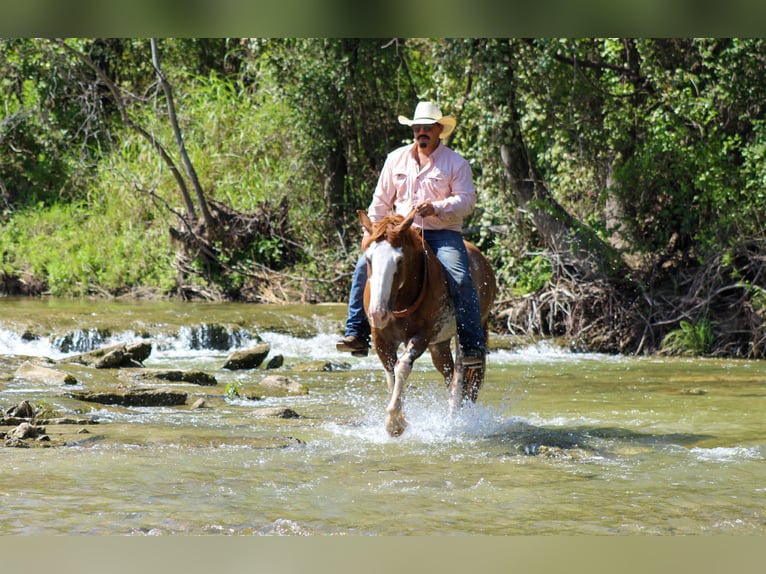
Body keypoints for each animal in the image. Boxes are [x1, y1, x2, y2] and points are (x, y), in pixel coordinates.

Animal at [358, 208, 497, 437]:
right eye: (369, 259)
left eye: (399, 260)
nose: (378, 314)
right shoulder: (381, 340)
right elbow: (390, 374)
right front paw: (400, 419)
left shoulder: (421, 336)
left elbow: (401, 367)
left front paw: (395, 422)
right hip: (439, 345)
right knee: (448, 373)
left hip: (465, 335)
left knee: (459, 377)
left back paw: (453, 419)